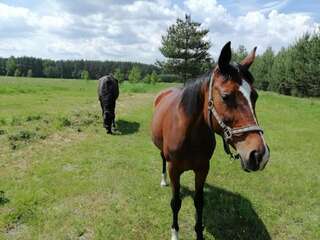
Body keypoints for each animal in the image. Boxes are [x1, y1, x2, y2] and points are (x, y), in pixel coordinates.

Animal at [152, 42, 270, 239]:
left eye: (255, 96)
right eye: (225, 96)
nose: (259, 155)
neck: (190, 135)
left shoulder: (202, 169)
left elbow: (199, 202)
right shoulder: (174, 169)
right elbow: (175, 202)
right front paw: (175, 233)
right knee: (162, 160)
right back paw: (162, 181)